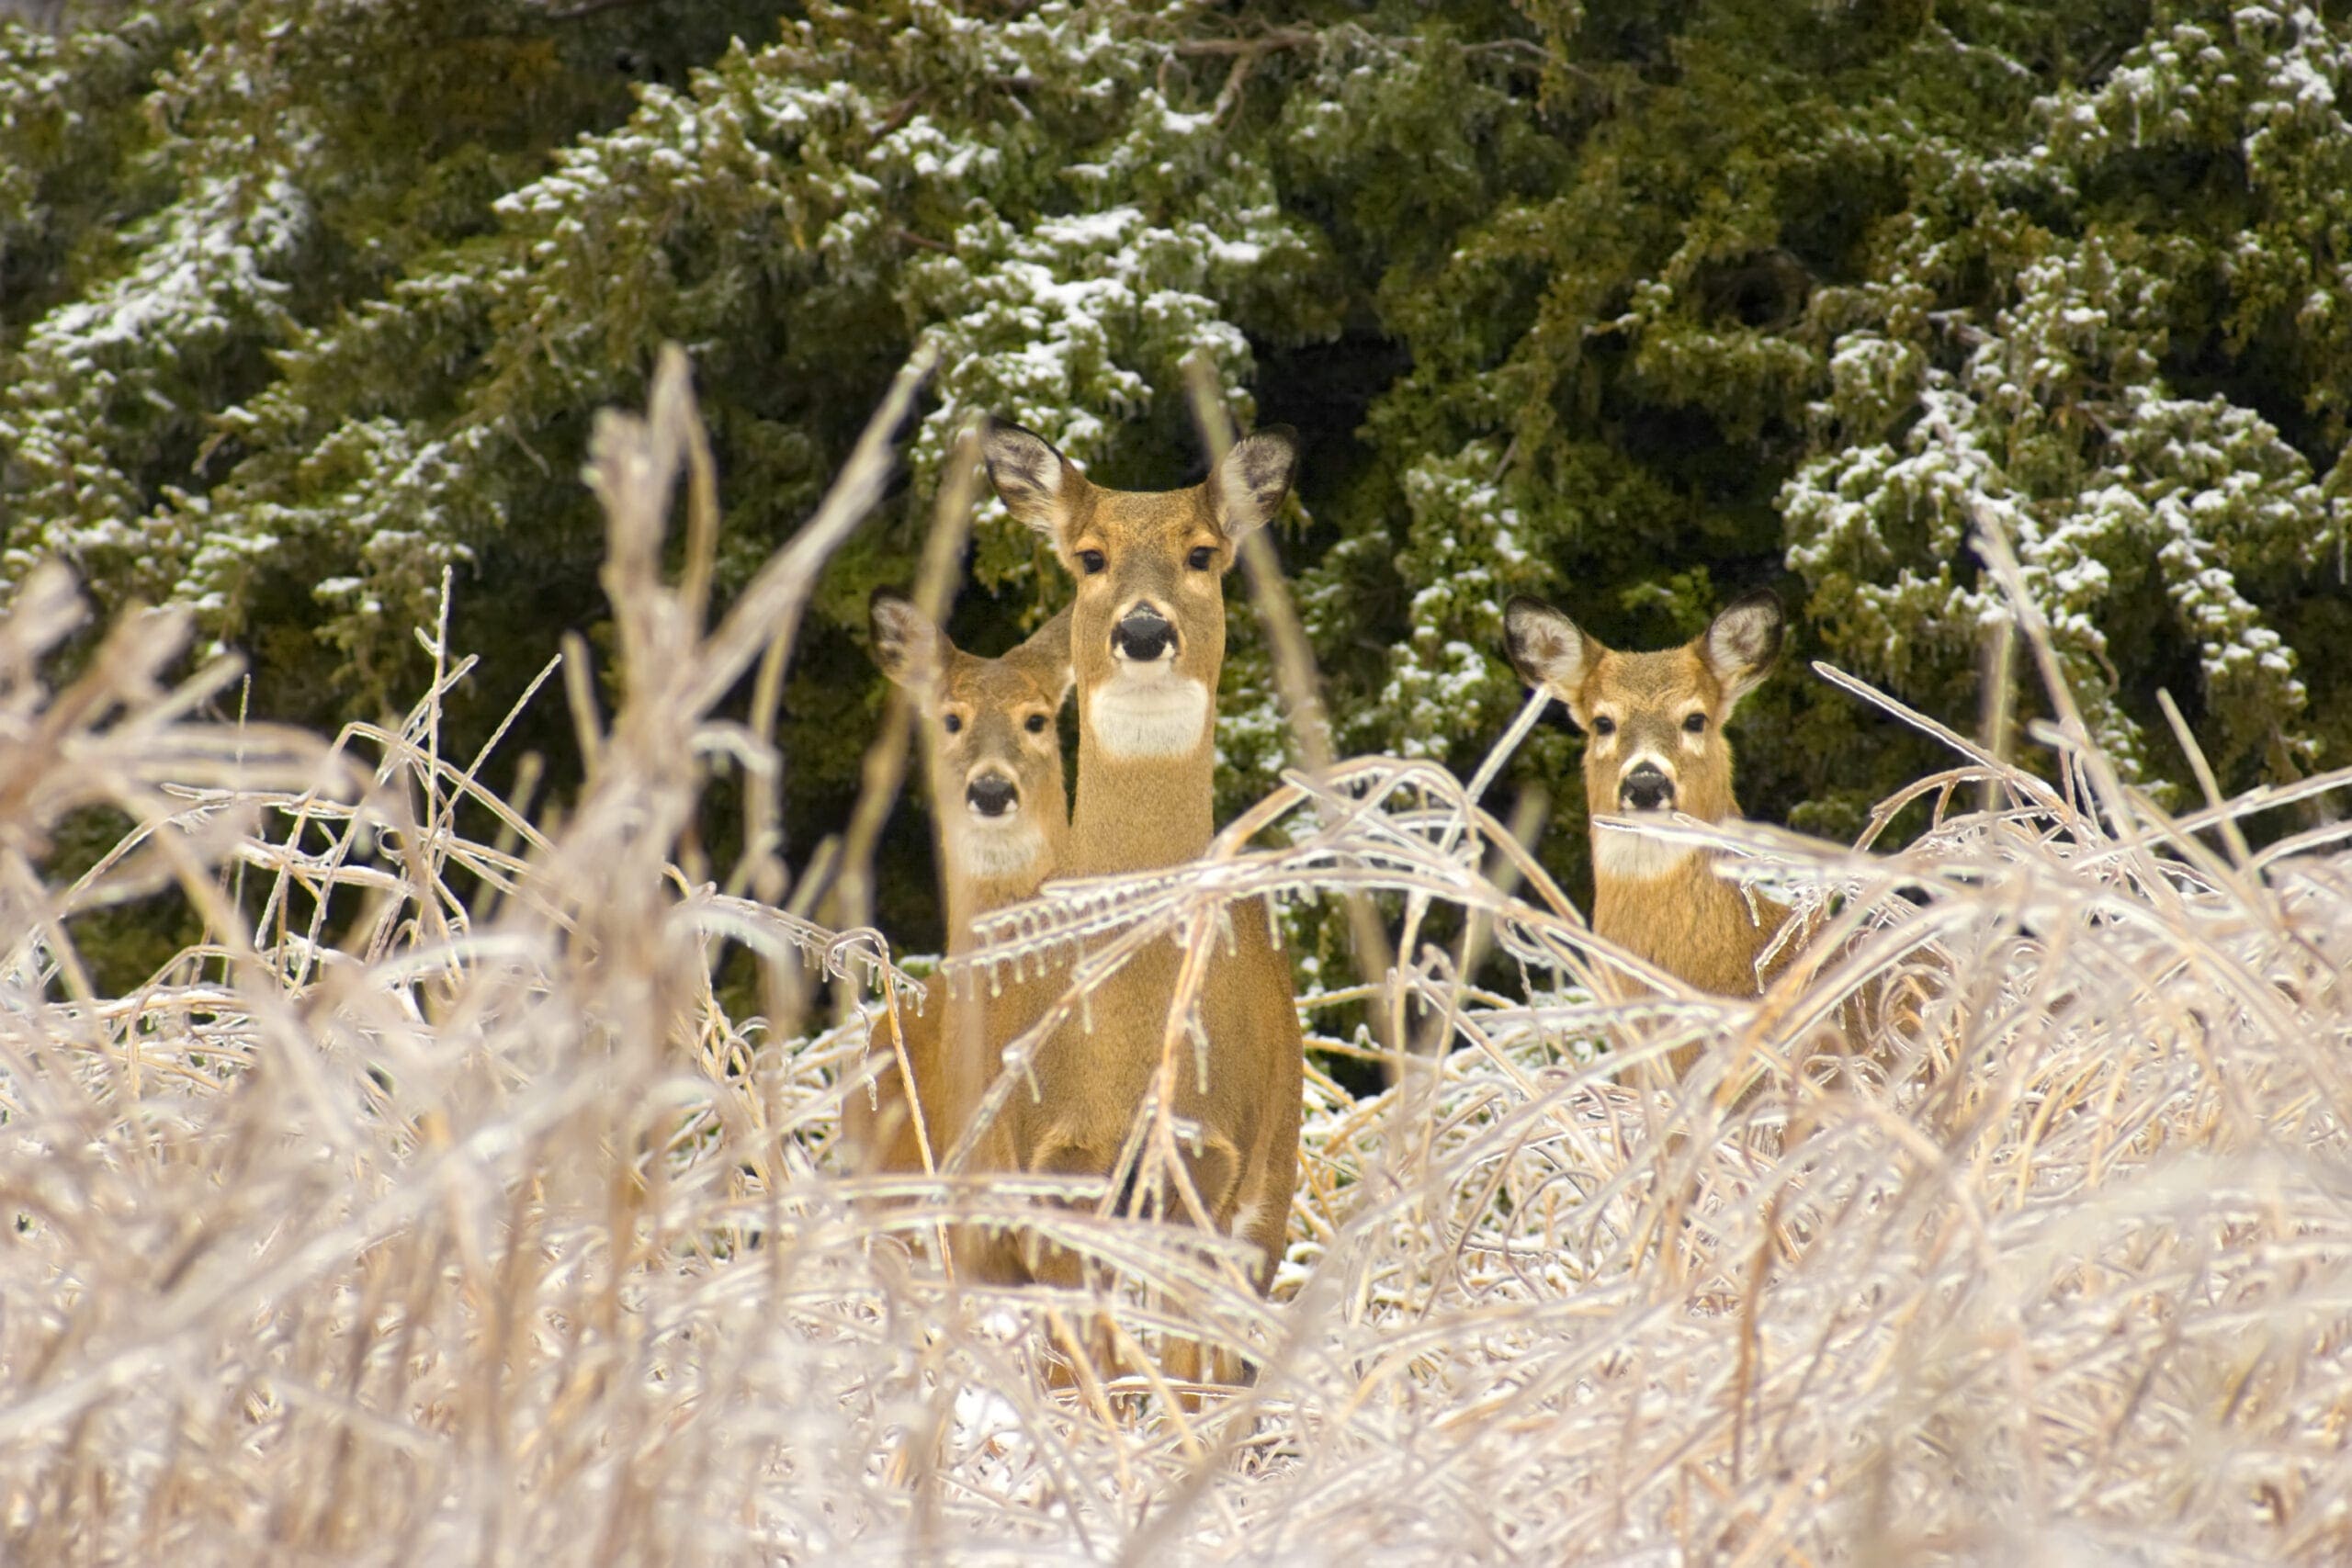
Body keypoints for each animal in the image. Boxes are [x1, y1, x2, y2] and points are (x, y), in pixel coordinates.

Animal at [978, 413, 1307, 1382]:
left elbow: (1188, 1374)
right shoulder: (1054, 1166)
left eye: (1202, 553)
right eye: (1090, 557)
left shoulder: (1208, 1160)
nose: (1146, 627)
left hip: (1274, 1167)